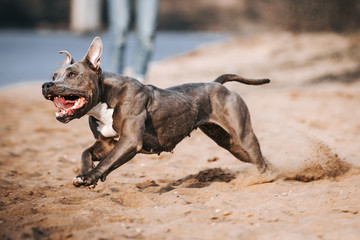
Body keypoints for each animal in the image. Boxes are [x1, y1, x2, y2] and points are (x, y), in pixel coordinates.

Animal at [40, 37, 268, 188]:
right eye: (54, 75)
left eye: (72, 74)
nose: (46, 85)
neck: (106, 97)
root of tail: (216, 83)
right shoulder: (106, 143)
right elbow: (86, 153)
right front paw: (85, 173)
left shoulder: (130, 141)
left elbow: (108, 160)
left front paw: (89, 177)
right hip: (229, 143)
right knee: (257, 158)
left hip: (243, 136)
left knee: (258, 156)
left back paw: (266, 178)